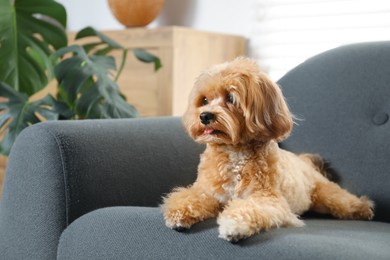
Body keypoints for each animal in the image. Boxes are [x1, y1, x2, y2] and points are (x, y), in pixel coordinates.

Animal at [162, 57, 374, 242]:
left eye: (230, 98)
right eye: (204, 100)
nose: (205, 116)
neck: (234, 152)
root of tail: (304, 162)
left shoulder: (268, 199)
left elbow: (248, 209)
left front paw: (233, 225)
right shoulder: (209, 193)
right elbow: (188, 196)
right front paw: (178, 213)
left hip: (330, 196)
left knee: (347, 202)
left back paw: (364, 209)